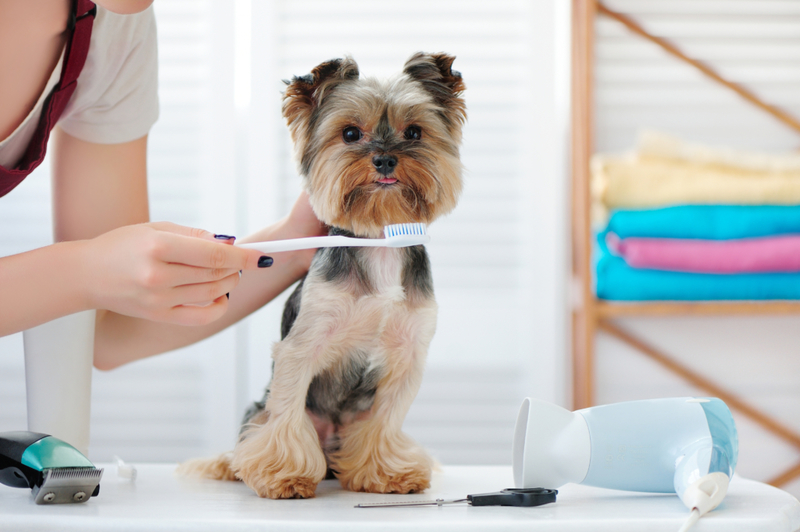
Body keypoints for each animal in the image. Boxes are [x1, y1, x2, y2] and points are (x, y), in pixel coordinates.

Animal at [180, 52, 468, 496]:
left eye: (414, 132)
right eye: (350, 133)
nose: (385, 159)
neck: (378, 242)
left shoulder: (407, 354)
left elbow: (385, 420)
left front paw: (388, 472)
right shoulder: (303, 345)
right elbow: (286, 413)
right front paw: (285, 475)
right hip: (260, 407)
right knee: (260, 426)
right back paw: (238, 465)